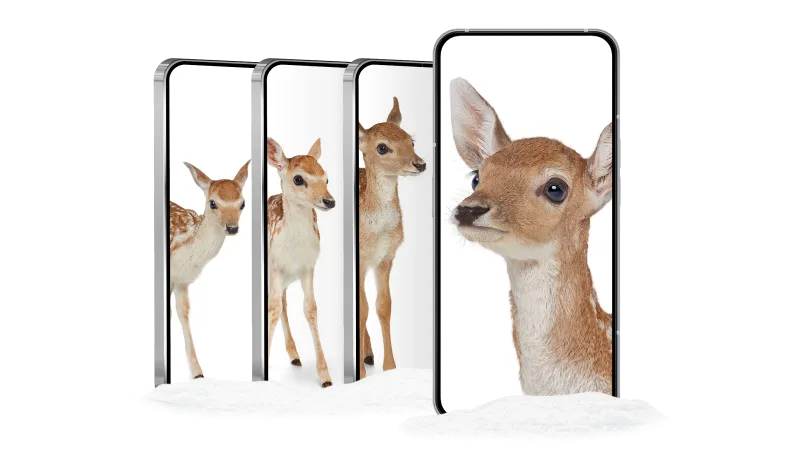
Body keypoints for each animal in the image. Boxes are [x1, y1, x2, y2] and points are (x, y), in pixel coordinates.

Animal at [169, 160, 251, 380]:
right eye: (213, 203)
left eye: (242, 203)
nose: (232, 228)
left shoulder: (181, 281)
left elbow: (183, 312)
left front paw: (198, 373)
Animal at [266, 137, 336, 388]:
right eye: (298, 178)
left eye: (326, 177)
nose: (329, 201)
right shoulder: (275, 267)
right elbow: (273, 309)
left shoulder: (308, 267)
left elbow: (310, 308)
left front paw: (325, 376)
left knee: (284, 303)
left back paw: (294, 355)